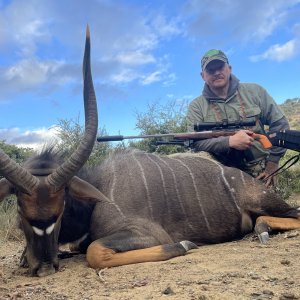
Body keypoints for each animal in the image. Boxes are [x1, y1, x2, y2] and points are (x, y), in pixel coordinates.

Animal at [1, 27, 300, 276]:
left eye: (61, 208)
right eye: (20, 211)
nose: (43, 267)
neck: (99, 188)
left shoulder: (146, 233)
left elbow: (94, 251)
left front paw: (183, 245)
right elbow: (79, 247)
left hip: (267, 202)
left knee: (292, 213)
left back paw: (262, 229)